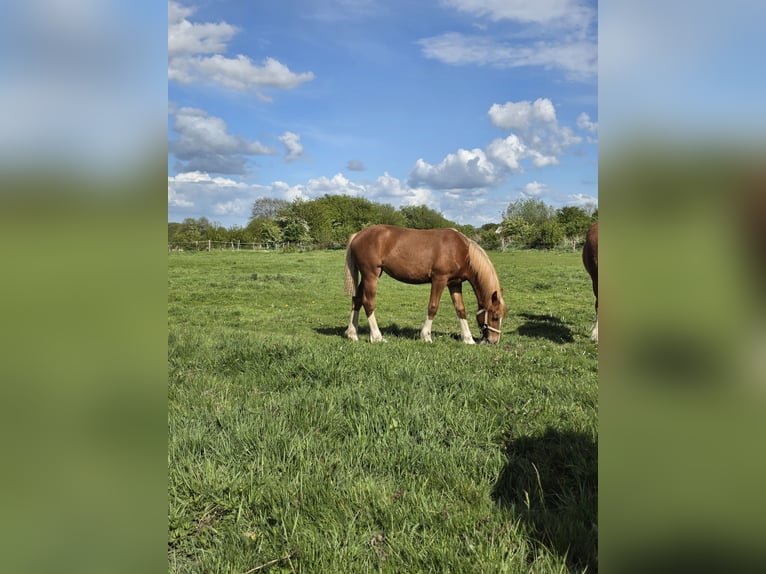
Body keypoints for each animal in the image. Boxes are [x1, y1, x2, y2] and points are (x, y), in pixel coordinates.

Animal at [343, 225, 507, 344]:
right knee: (368, 302)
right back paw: (377, 337)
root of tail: (358, 235)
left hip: (367, 276)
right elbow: (433, 307)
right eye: (495, 316)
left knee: (357, 300)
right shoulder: (439, 279)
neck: (461, 251)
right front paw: (426, 336)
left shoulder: (455, 284)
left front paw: (468, 339)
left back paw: (352, 334)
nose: (494, 341)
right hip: (371, 275)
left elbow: (461, 309)